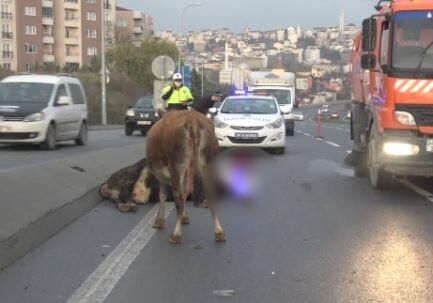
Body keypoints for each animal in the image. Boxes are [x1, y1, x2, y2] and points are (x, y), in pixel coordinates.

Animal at [133, 110, 224, 246]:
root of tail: (192, 118)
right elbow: (185, 192)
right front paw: (184, 218)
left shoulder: (162, 175)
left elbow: (162, 196)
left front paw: (159, 221)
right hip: (208, 164)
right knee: (210, 196)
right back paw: (219, 232)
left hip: (177, 165)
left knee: (179, 198)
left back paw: (175, 235)